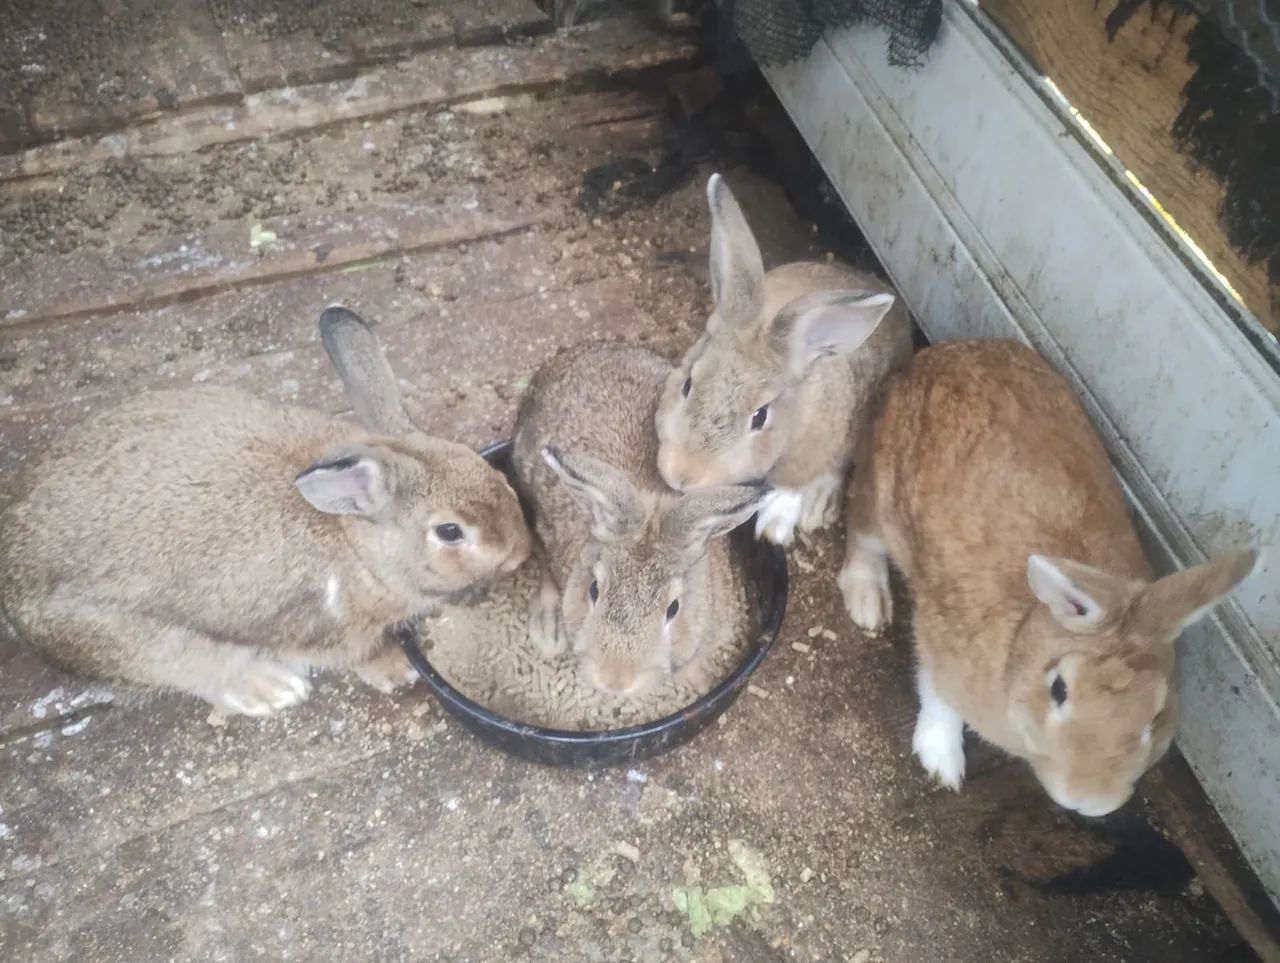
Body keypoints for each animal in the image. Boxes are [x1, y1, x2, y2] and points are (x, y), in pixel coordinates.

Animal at [0, 306, 531, 717]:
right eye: (450, 531)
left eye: (497, 478)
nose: (522, 551)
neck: (356, 544)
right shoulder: (325, 627)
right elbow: (355, 656)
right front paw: (396, 669)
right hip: (138, 642)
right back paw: (272, 690)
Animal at [840, 339, 1261, 816]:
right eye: (1059, 689)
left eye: (1156, 715)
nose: (1090, 802)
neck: (1020, 645)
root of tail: (933, 356)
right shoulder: (938, 639)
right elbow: (937, 693)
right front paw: (941, 761)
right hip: (880, 493)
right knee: (863, 532)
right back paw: (868, 601)